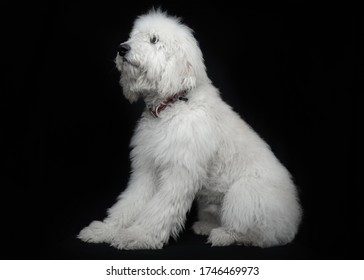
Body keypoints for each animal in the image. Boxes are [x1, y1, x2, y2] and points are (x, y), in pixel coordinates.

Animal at [78, 9, 302, 249]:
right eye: (134, 36)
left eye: (154, 39)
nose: (122, 49)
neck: (173, 104)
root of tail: (294, 221)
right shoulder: (147, 169)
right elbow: (130, 202)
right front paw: (105, 230)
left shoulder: (179, 172)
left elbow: (159, 210)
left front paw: (138, 235)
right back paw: (206, 226)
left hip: (245, 192)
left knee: (257, 234)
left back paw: (223, 235)